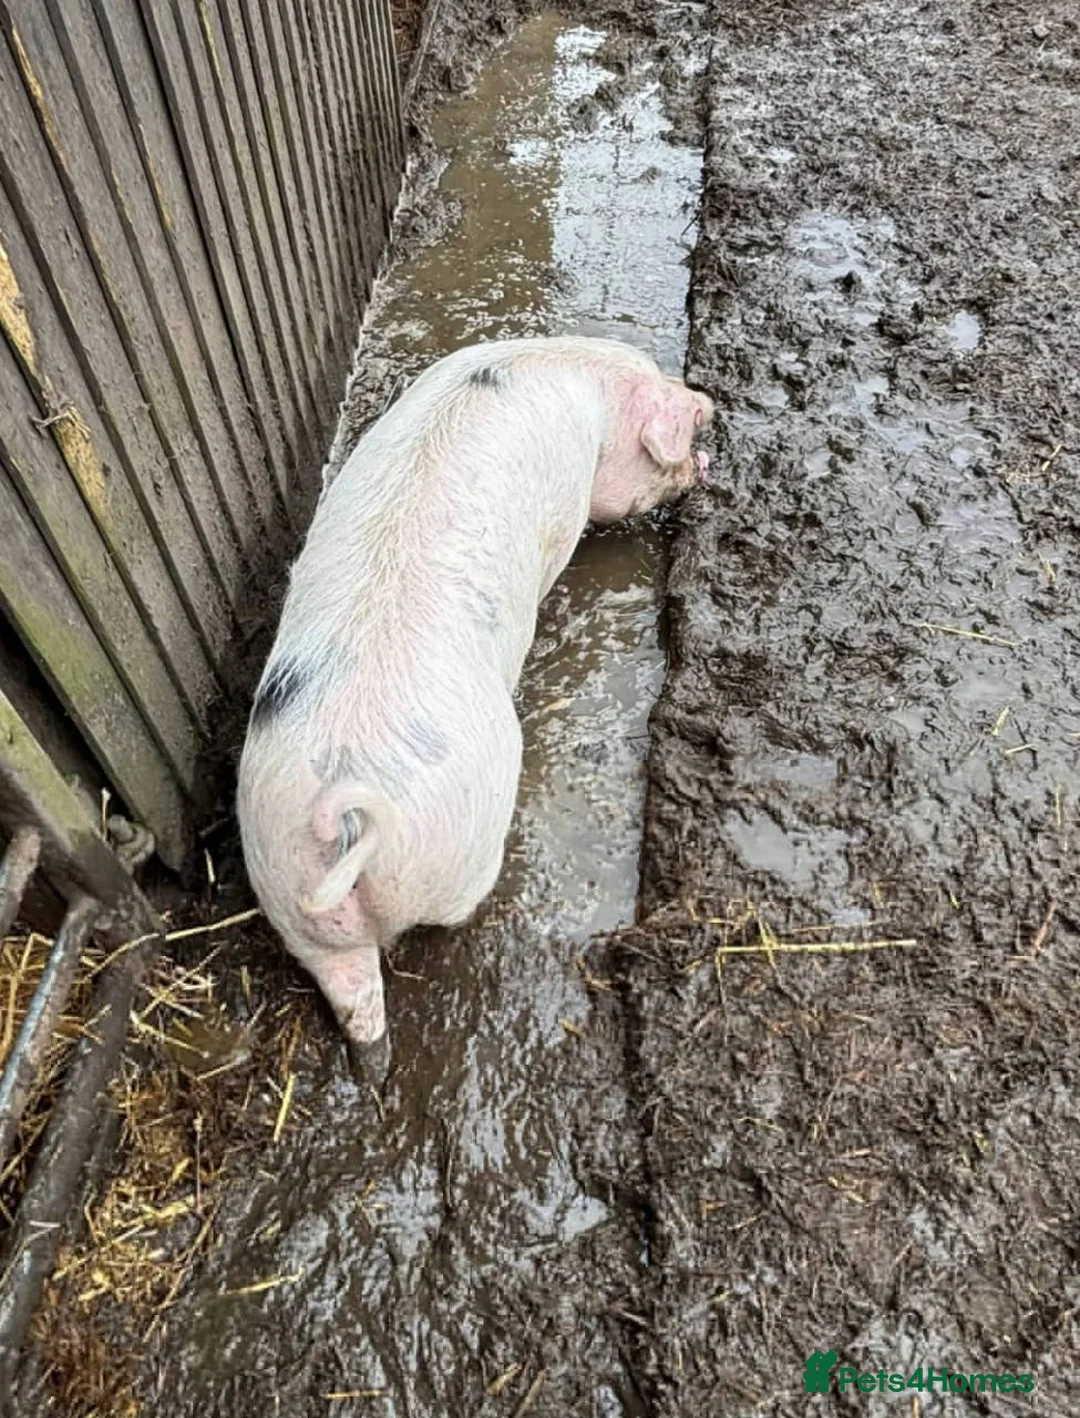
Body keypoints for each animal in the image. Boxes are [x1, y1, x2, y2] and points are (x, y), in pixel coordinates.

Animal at [237, 336, 713, 1073]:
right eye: (676, 436)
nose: (709, 433)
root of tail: (347, 803)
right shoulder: (568, 504)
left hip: (287, 886)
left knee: (352, 992)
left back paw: (371, 1064)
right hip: (466, 835)